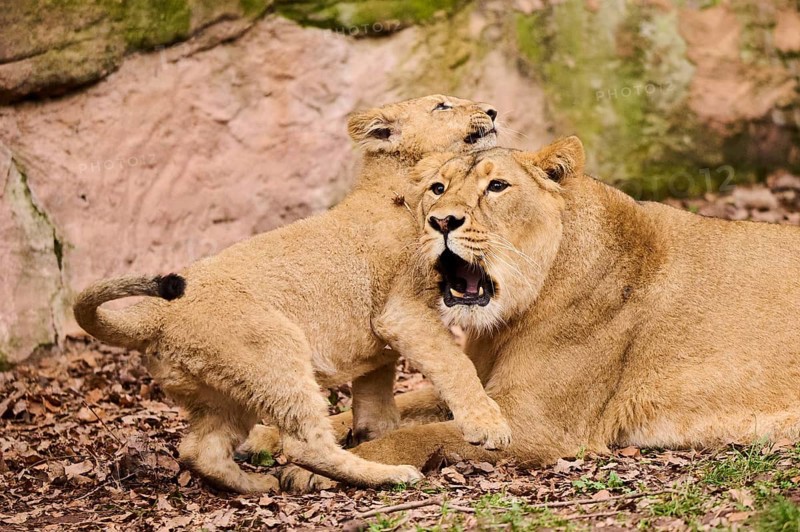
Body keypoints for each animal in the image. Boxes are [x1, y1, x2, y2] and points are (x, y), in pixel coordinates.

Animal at [73, 95, 512, 494]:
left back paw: (259, 485)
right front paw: (488, 426)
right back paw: (388, 476)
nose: (492, 111)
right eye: (442, 105)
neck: (412, 185)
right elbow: (455, 364)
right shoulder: (403, 312)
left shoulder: (378, 348)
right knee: (302, 444)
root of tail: (154, 315)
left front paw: (377, 435)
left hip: (223, 392)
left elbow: (376, 408)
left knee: (201, 450)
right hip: (274, 346)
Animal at [279, 136, 800, 486]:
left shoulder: (540, 424)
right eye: (437, 187)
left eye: (497, 186)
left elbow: (417, 436)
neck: (511, 313)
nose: (442, 220)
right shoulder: (485, 387)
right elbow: (408, 407)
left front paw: (330, 469)